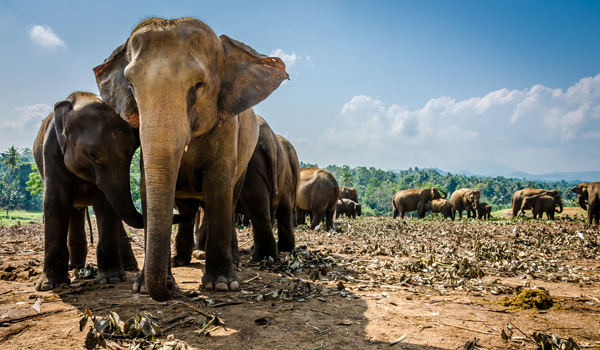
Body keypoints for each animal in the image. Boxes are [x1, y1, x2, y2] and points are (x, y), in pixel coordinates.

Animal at [31, 91, 143, 292]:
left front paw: (112, 279)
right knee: (74, 212)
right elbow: (56, 202)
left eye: (132, 153)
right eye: (92, 154)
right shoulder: (51, 151)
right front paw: (49, 286)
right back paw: (75, 267)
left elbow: (105, 205)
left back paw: (128, 267)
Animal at [94, 17, 288, 300]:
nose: (169, 290)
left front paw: (222, 284)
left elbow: (218, 186)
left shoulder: (227, 126)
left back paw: (231, 261)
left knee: (231, 198)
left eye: (198, 86)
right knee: (187, 208)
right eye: (130, 85)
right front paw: (143, 286)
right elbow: (147, 189)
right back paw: (180, 260)